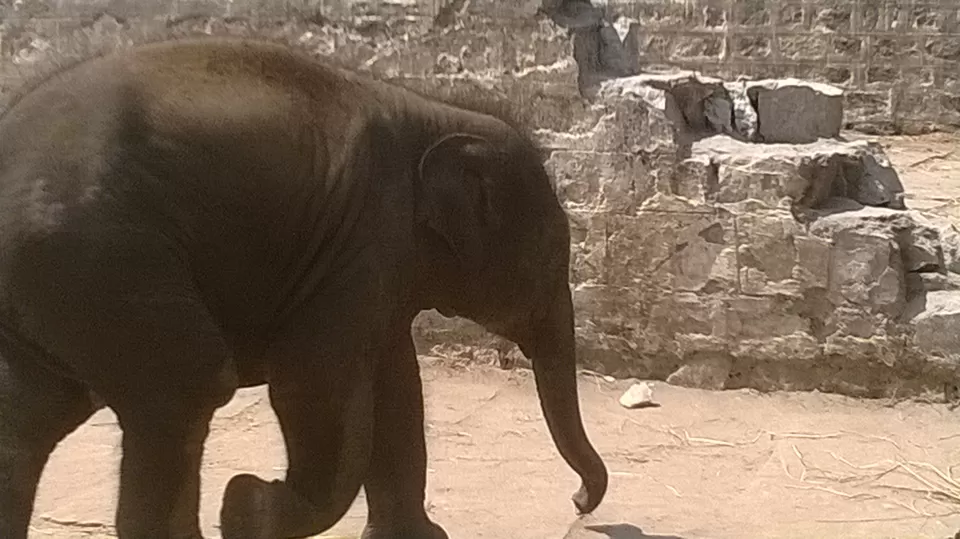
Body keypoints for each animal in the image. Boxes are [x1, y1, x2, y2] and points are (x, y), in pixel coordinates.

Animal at [0, 36, 608, 539]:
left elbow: (397, 386)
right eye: (551, 256)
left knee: (28, 417)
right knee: (187, 384)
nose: (579, 502)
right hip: (99, 260)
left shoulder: (377, 264)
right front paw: (244, 509)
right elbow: (319, 382)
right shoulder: (362, 236)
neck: (434, 113)